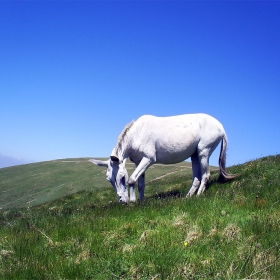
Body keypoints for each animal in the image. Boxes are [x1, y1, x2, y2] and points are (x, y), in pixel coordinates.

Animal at [89, 114, 238, 203]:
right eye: (109, 180)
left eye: (122, 177)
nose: (122, 201)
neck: (136, 134)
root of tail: (221, 127)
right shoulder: (139, 162)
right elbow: (141, 183)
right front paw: (141, 202)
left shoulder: (148, 159)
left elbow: (132, 180)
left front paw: (133, 201)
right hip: (195, 155)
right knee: (196, 177)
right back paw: (187, 197)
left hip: (204, 152)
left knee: (205, 175)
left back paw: (198, 195)